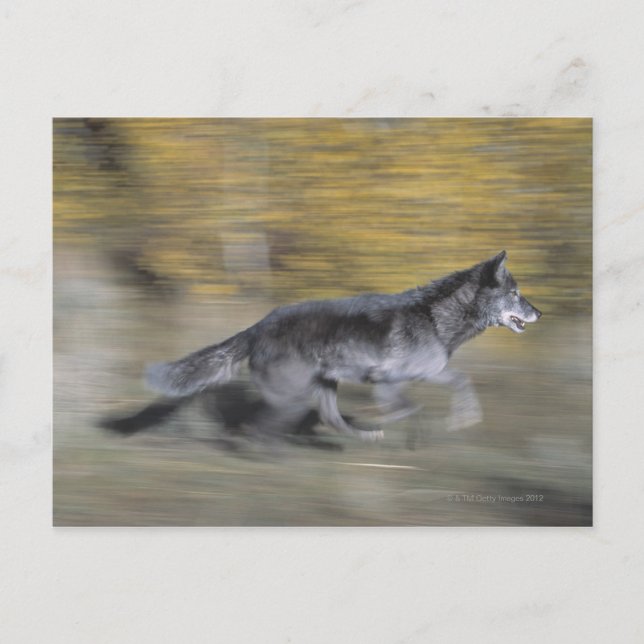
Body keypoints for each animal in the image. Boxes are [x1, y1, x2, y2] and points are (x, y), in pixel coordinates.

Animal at [145, 251, 541, 440]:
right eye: (516, 293)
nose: (539, 312)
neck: (433, 317)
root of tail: (256, 327)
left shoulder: (416, 377)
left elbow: (458, 382)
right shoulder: (393, 380)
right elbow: (420, 405)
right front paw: (460, 419)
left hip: (323, 386)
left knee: (329, 419)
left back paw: (361, 437)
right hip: (294, 394)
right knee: (259, 427)